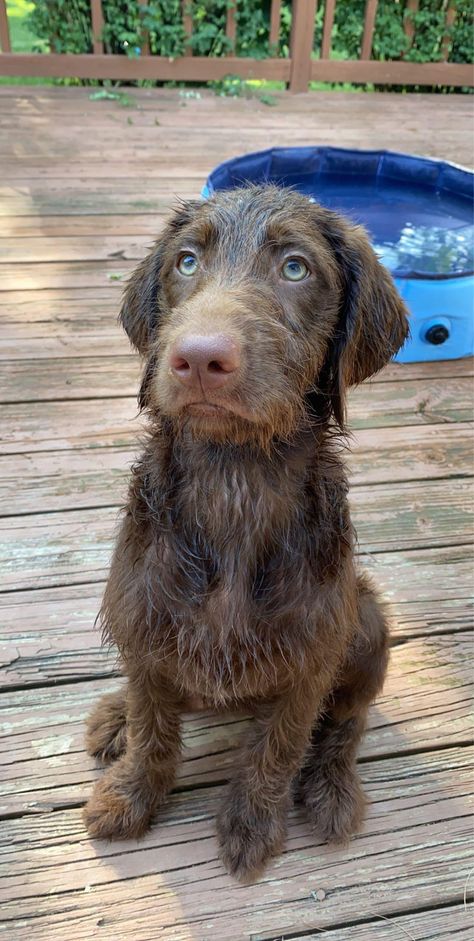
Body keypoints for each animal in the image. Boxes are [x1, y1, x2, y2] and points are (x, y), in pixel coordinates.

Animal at [83, 185, 410, 880]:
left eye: (295, 268)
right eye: (185, 262)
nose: (200, 358)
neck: (235, 479)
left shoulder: (312, 656)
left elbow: (281, 744)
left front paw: (253, 821)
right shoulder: (142, 621)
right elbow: (153, 725)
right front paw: (132, 793)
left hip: (366, 620)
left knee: (347, 723)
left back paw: (333, 788)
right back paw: (115, 715)